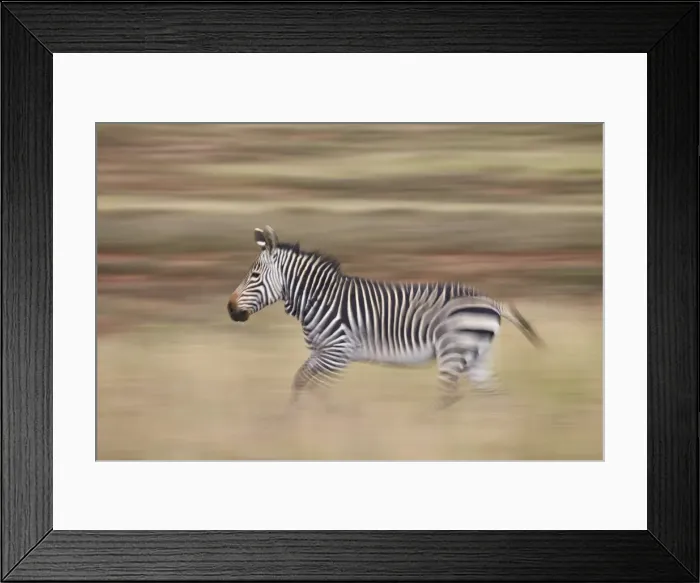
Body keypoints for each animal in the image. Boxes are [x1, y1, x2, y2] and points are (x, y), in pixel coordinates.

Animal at [227, 225, 543, 410]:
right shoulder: (320, 352)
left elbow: (318, 390)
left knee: (448, 397)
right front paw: (294, 419)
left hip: (453, 352)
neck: (319, 299)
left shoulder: (337, 354)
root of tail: (491, 301)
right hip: (477, 357)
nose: (230, 309)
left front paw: (324, 421)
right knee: (497, 398)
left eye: (254, 275)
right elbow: (299, 382)